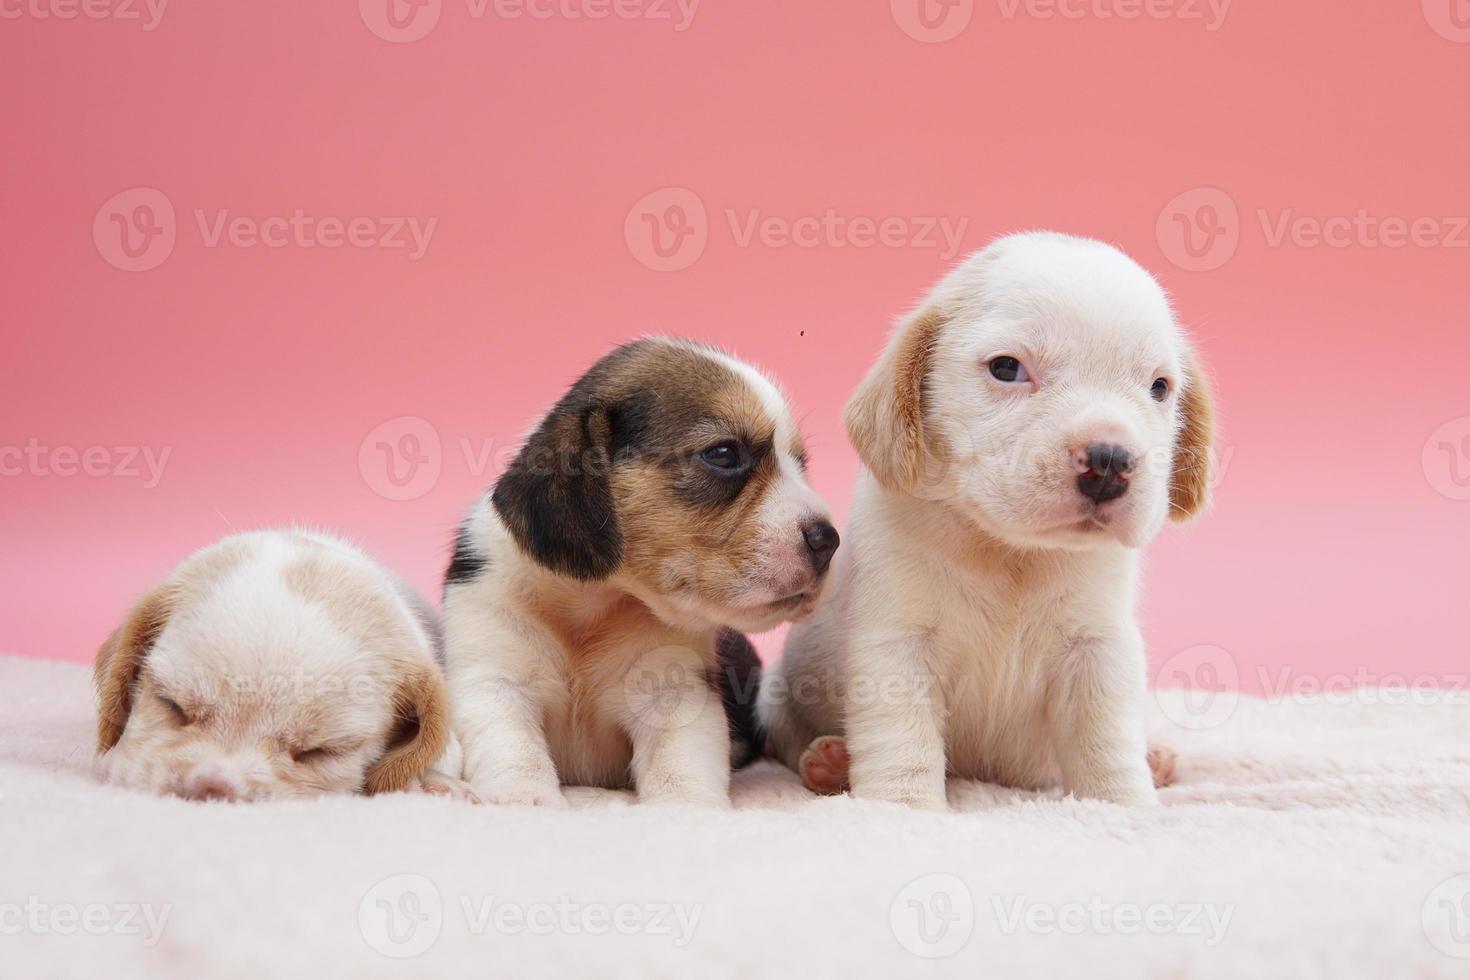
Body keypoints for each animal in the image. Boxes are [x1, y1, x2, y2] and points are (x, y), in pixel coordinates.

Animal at [441, 340, 840, 811]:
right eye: (724, 454)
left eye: (800, 463)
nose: (828, 540)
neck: (595, 606)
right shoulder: (495, 680)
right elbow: (515, 749)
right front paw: (524, 798)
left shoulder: (674, 695)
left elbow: (679, 766)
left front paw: (685, 809)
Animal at [758, 232, 1217, 811]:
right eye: (1006, 368)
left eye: (1159, 387)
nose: (1111, 461)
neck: (1009, 552)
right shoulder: (897, 648)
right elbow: (903, 742)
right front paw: (903, 808)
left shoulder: (1098, 650)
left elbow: (1106, 744)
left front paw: (1124, 804)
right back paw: (829, 762)